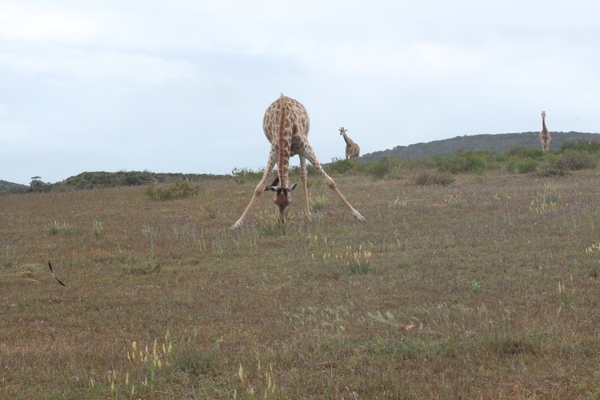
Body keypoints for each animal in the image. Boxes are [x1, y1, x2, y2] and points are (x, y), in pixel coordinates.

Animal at [232, 94, 366, 230]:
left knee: (303, 175)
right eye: (275, 202)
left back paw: (308, 214)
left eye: (289, 202)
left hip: (303, 146)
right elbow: (259, 188)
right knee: (284, 177)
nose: (281, 221)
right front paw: (237, 223)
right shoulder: (274, 150)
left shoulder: (305, 147)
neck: (284, 125)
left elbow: (330, 181)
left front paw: (358, 215)